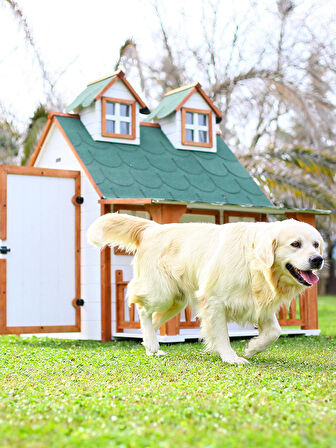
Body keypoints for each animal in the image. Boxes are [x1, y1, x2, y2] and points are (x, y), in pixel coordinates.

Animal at [86, 214, 322, 364]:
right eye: (295, 244)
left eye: (316, 244)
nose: (318, 259)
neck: (254, 261)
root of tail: (153, 228)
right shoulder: (213, 300)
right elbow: (222, 335)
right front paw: (231, 358)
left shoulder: (259, 303)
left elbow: (275, 332)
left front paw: (253, 347)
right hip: (162, 293)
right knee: (142, 308)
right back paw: (152, 344)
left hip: (176, 301)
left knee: (152, 320)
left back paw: (151, 345)